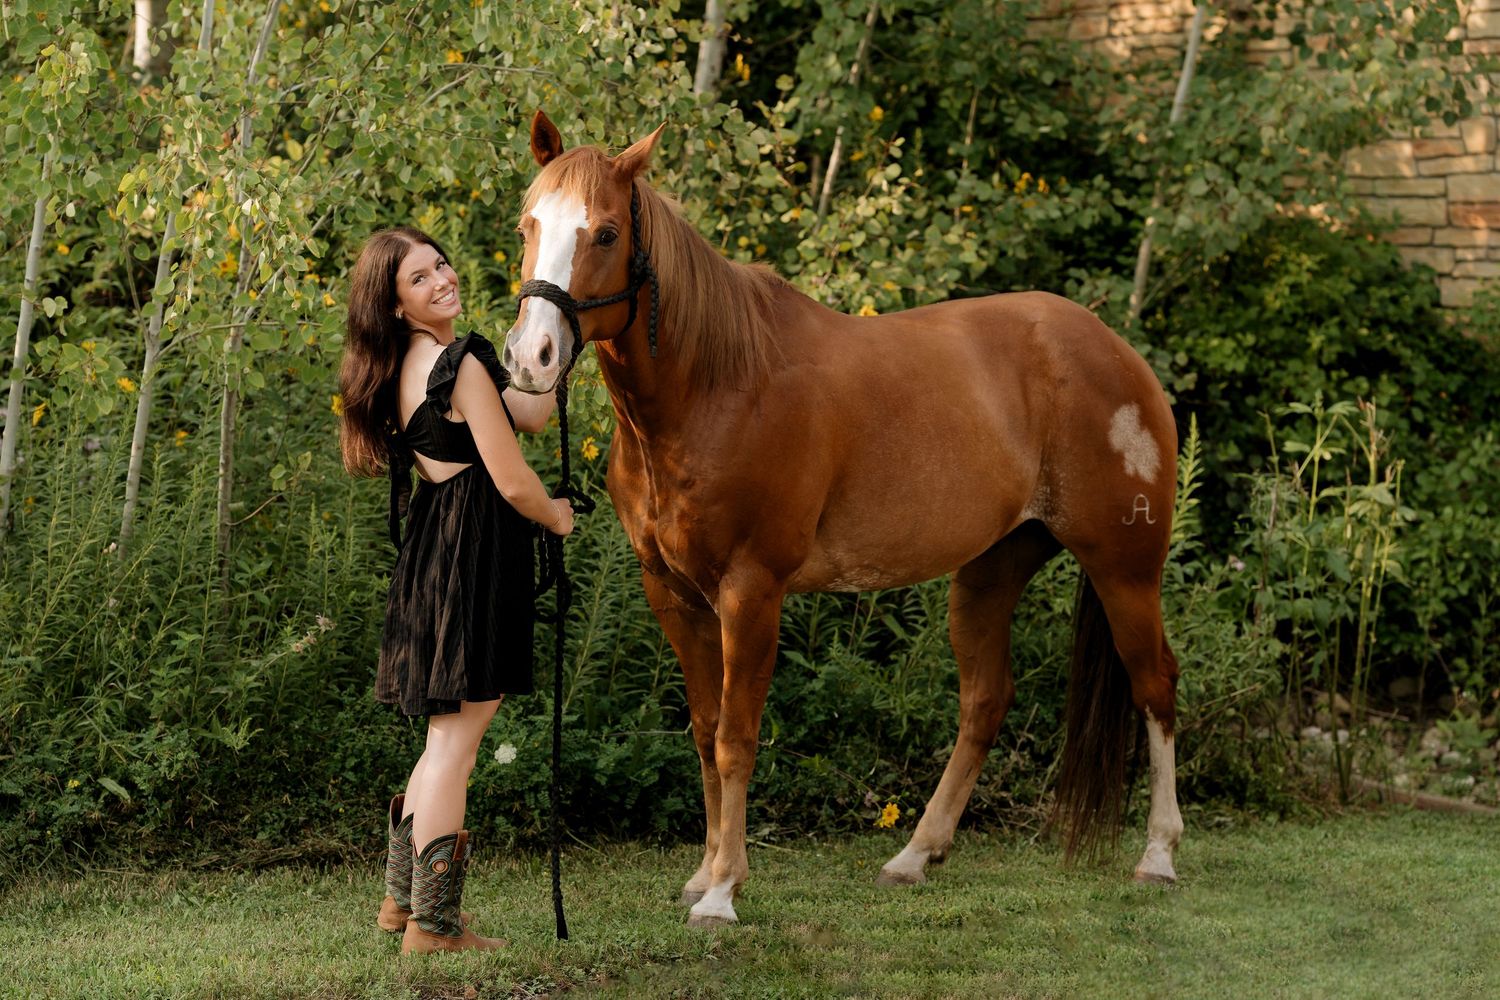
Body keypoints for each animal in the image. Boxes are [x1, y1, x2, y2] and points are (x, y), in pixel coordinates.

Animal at [503, 110, 1184, 928]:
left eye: (604, 233)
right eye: (528, 224)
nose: (532, 357)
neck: (717, 385)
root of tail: (1118, 353)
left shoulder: (751, 592)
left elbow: (736, 739)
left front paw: (723, 893)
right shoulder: (672, 594)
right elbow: (703, 731)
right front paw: (703, 875)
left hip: (1125, 569)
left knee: (1156, 686)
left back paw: (1158, 857)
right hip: (992, 570)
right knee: (985, 702)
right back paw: (914, 856)